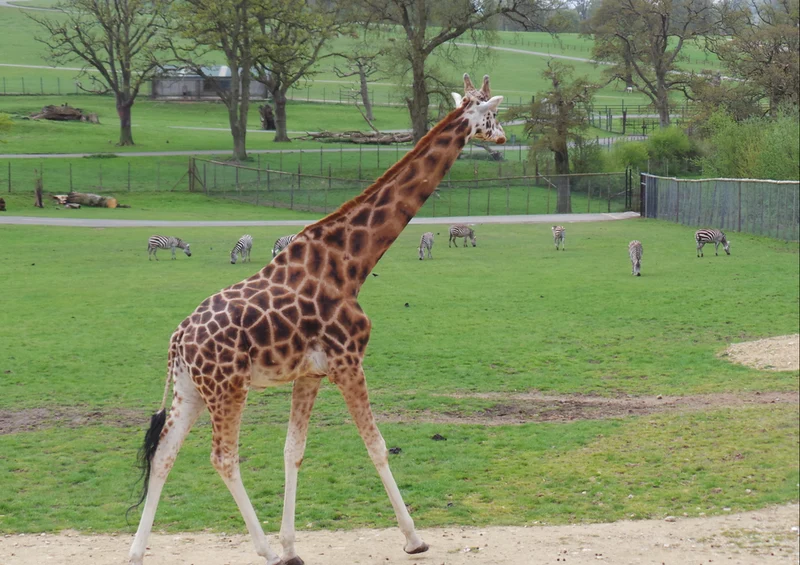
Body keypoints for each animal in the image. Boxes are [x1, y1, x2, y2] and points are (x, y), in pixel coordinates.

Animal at [128, 73, 505, 565]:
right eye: (493, 114)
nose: (504, 138)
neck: (351, 264)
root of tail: (177, 341)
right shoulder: (348, 361)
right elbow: (376, 445)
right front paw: (413, 538)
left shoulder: (309, 373)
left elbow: (293, 450)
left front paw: (292, 544)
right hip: (228, 388)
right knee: (223, 458)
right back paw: (265, 551)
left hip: (190, 390)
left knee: (164, 454)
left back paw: (137, 552)